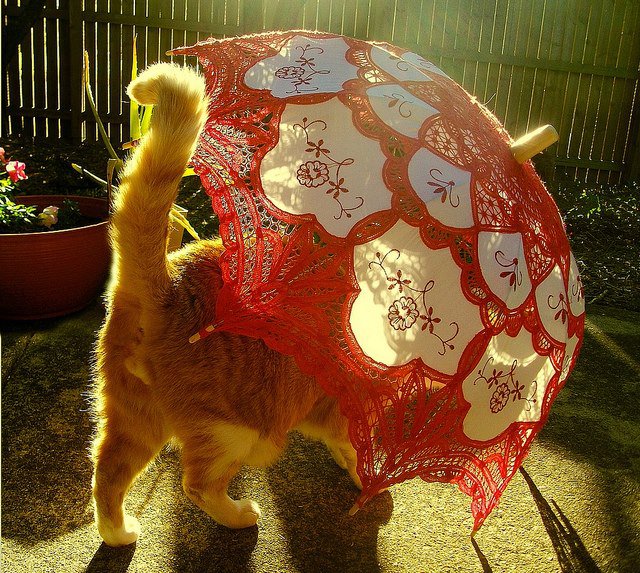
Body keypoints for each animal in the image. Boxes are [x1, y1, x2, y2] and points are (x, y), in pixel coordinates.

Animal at [91, 63, 361, 547]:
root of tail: (169, 283)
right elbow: (356, 450)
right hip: (231, 432)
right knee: (196, 486)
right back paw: (240, 515)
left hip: (135, 418)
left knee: (106, 474)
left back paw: (118, 533)